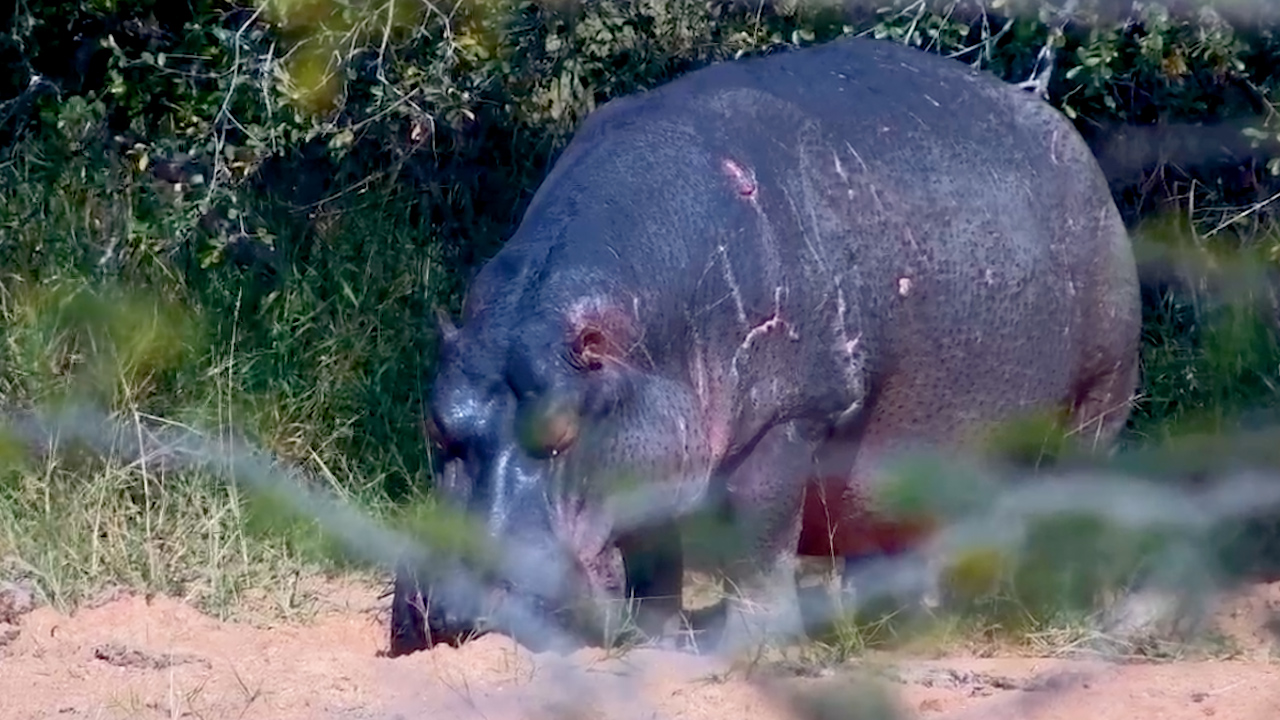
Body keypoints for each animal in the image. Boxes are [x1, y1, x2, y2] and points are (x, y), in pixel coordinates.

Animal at [389, 35, 1141, 657]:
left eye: (562, 432)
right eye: (434, 427)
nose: (451, 607)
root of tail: (1071, 140)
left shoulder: (790, 419)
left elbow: (758, 541)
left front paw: (747, 647)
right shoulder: (654, 440)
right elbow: (654, 547)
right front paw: (656, 639)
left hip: (1097, 402)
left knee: (1074, 501)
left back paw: (1038, 614)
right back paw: (895, 627)